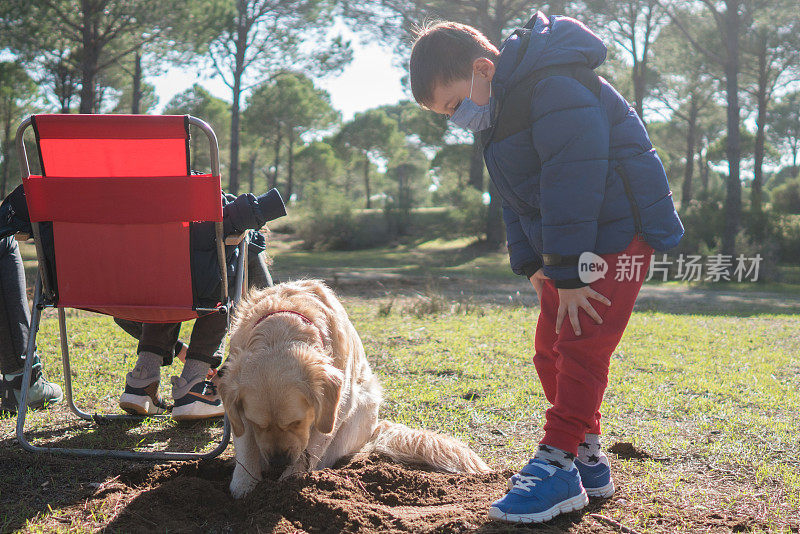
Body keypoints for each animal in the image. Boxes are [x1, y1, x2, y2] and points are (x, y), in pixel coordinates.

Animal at [222, 280, 490, 498]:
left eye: (297, 422)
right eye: (257, 424)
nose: (278, 462)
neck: (282, 326)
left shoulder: (336, 407)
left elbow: (314, 445)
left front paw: (288, 482)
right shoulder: (238, 407)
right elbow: (245, 445)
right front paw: (243, 484)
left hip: (362, 405)